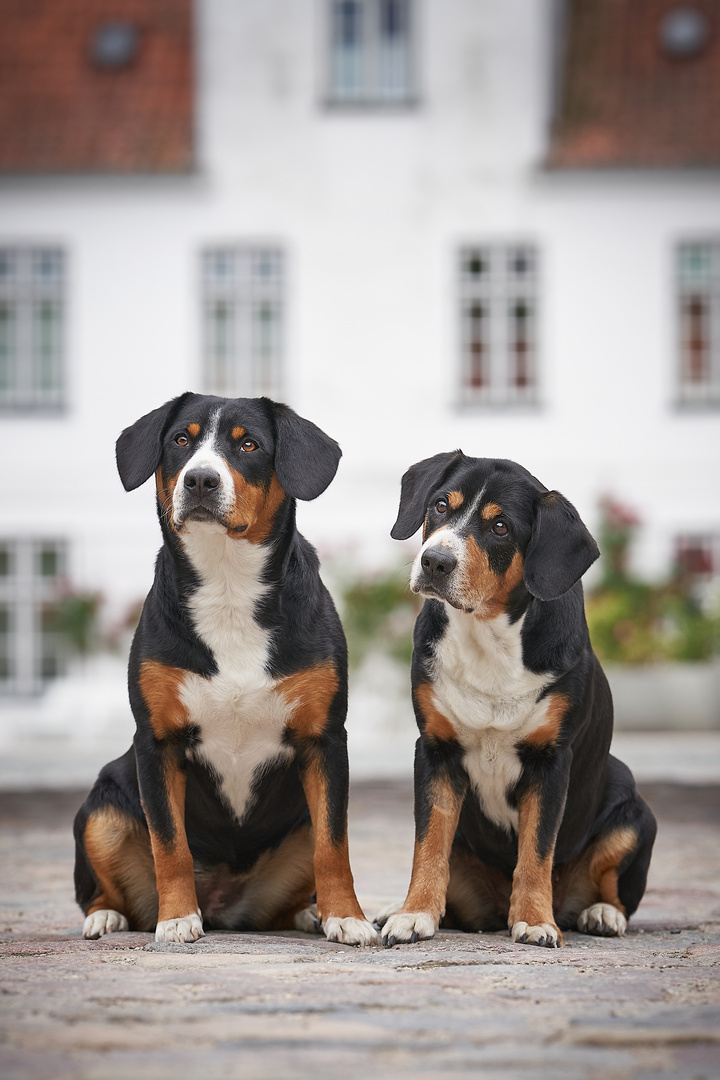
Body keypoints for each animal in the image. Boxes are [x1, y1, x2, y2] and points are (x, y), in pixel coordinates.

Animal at [73, 395, 377, 946]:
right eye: (181, 440)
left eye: (249, 444)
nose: (200, 480)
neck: (228, 586)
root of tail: (224, 905)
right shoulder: (158, 742)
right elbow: (169, 843)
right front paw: (176, 919)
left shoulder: (323, 740)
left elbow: (333, 844)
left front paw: (346, 916)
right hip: (102, 808)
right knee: (101, 887)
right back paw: (107, 916)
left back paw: (309, 913)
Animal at [379, 451, 656, 950]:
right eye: (440, 506)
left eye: (500, 527)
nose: (434, 561)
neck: (488, 638)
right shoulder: (435, 751)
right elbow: (429, 844)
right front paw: (413, 914)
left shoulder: (551, 760)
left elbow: (536, 850)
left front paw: (535, 921)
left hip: (632, 809)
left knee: (613, 888)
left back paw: (602, 913)